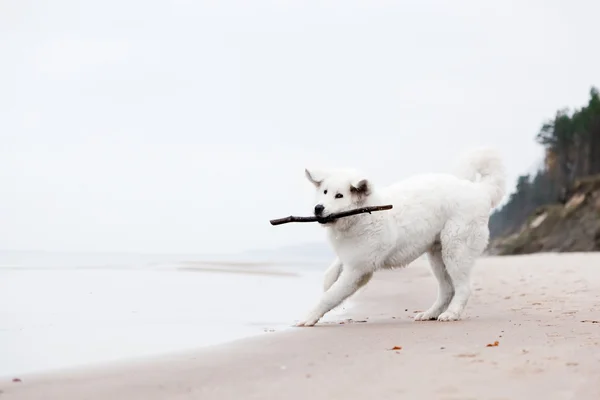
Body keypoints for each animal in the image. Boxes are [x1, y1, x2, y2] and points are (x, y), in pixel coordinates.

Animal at [296, 148, 506, 326]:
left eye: (339, 196)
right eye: (324, 192)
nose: (318, 208)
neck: (362, 215)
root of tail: (479, 190)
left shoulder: (357, 270)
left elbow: (329, 296)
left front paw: (308, 317)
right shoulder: (351, 257)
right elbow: (331, 274)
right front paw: (327, 281)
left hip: (455, 250)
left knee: (463, 288)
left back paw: (451, 314)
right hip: (437, 256)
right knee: (447, 289)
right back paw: (430, 314)